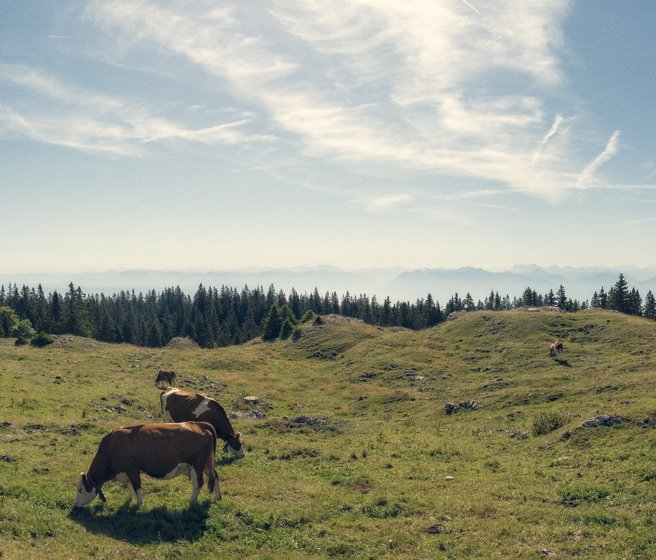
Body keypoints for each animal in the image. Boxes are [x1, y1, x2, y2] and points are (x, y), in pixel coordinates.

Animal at [73, 422, 220, 509]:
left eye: (80, 489)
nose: (75, 506)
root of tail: (198, 424)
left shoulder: (132, 468)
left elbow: (137, 486)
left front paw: (139, 504)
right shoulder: (127, 471)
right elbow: (130, 486)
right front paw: (128, 500)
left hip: (197, 465)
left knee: (199, 483)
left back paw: (191, 502)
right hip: (207, 464)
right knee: (215, 476)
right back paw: (218, 497)